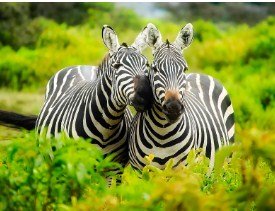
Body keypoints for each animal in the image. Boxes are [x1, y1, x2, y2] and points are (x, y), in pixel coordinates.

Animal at [129, 23, 235, 172]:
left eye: (184, 69)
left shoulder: (184, 170)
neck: (162, 134)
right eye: (155, 69)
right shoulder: (139, 171)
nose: (174, 107)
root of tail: (200, 74)